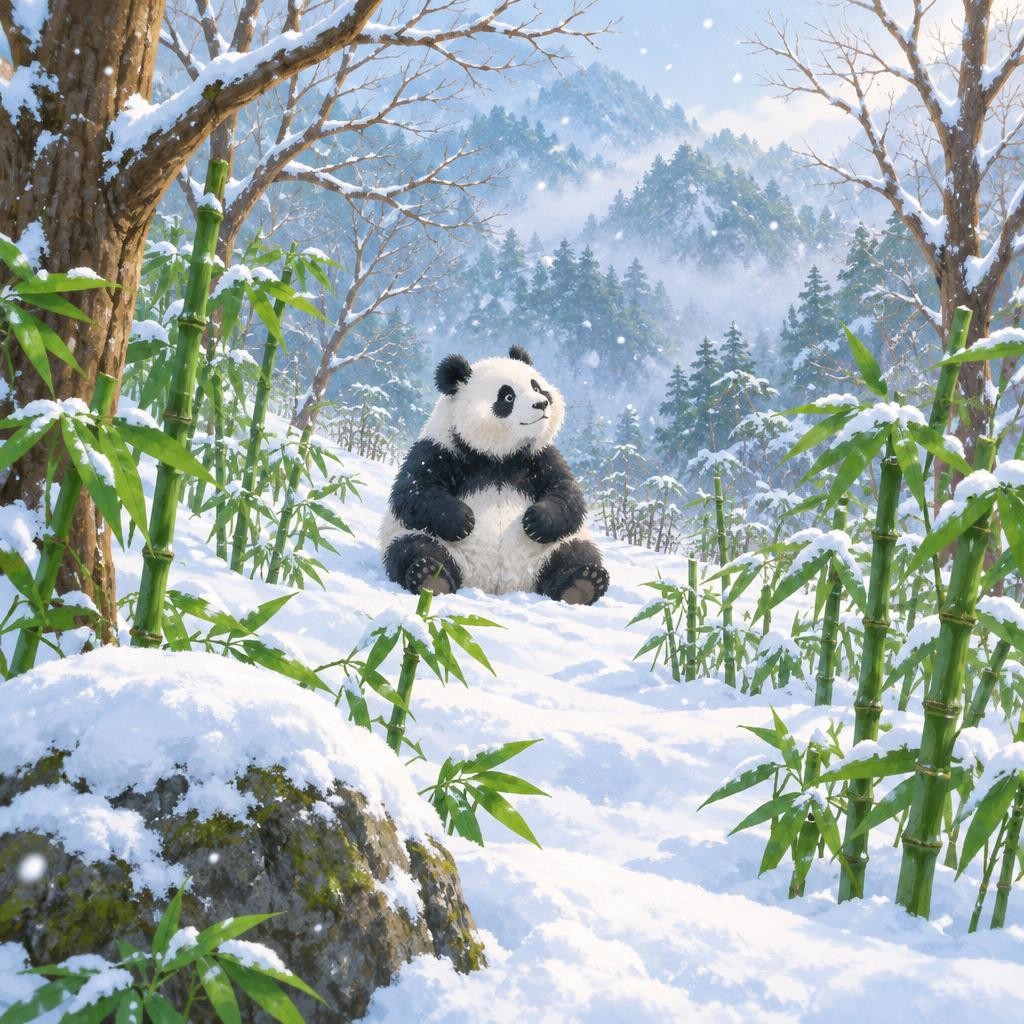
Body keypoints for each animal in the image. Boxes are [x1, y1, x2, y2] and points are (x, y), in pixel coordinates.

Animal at [378, 345, 609, 605]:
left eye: (536, 387)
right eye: (507, 397)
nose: (541, 404)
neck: (498, 458)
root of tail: (497, 585)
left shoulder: (540, 457)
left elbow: (566, 492)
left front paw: (536, 521)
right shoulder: (441, 450)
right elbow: (413, 491)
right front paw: (463, 519)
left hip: (550, 550)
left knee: (577, 551)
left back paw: (583, 583)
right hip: (419, 538)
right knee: (413, 547)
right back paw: (430, 576)